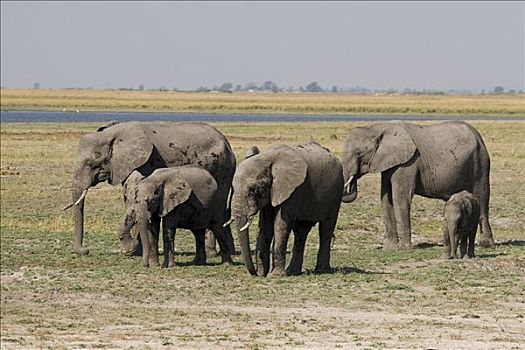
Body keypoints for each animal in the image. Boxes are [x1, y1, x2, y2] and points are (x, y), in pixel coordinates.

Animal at [66, 121, 235, 258]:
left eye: (92, 163)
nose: (85, 250)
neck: (112, 134)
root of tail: (226, 141)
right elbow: (130, 198)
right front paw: (136, 250)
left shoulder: (146, 163)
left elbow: (134, 199)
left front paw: (131, 249)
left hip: (223, 168)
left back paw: (213, 253)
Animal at [230, 142, 344, 276]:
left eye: (256, 189)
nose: (255, 273)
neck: (267, 157)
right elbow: (265, 226)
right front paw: (263, 273)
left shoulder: (293, 190)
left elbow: (280, 225)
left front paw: (275, 275)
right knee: (301, 231)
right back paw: (293, 272)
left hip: (336, 194)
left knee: (326, 228)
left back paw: (322, 270)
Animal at [342, 121, 494, 250]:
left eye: (359, 154)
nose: (350, 184)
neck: (377, 128)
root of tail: (479, 136)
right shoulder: (390, 164)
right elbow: (386, 199)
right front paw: (389, 248)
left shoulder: (408, 163)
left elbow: (400, 198)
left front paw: (404, 249)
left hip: (480, 164)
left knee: (482, 200)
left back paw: (486, 244)